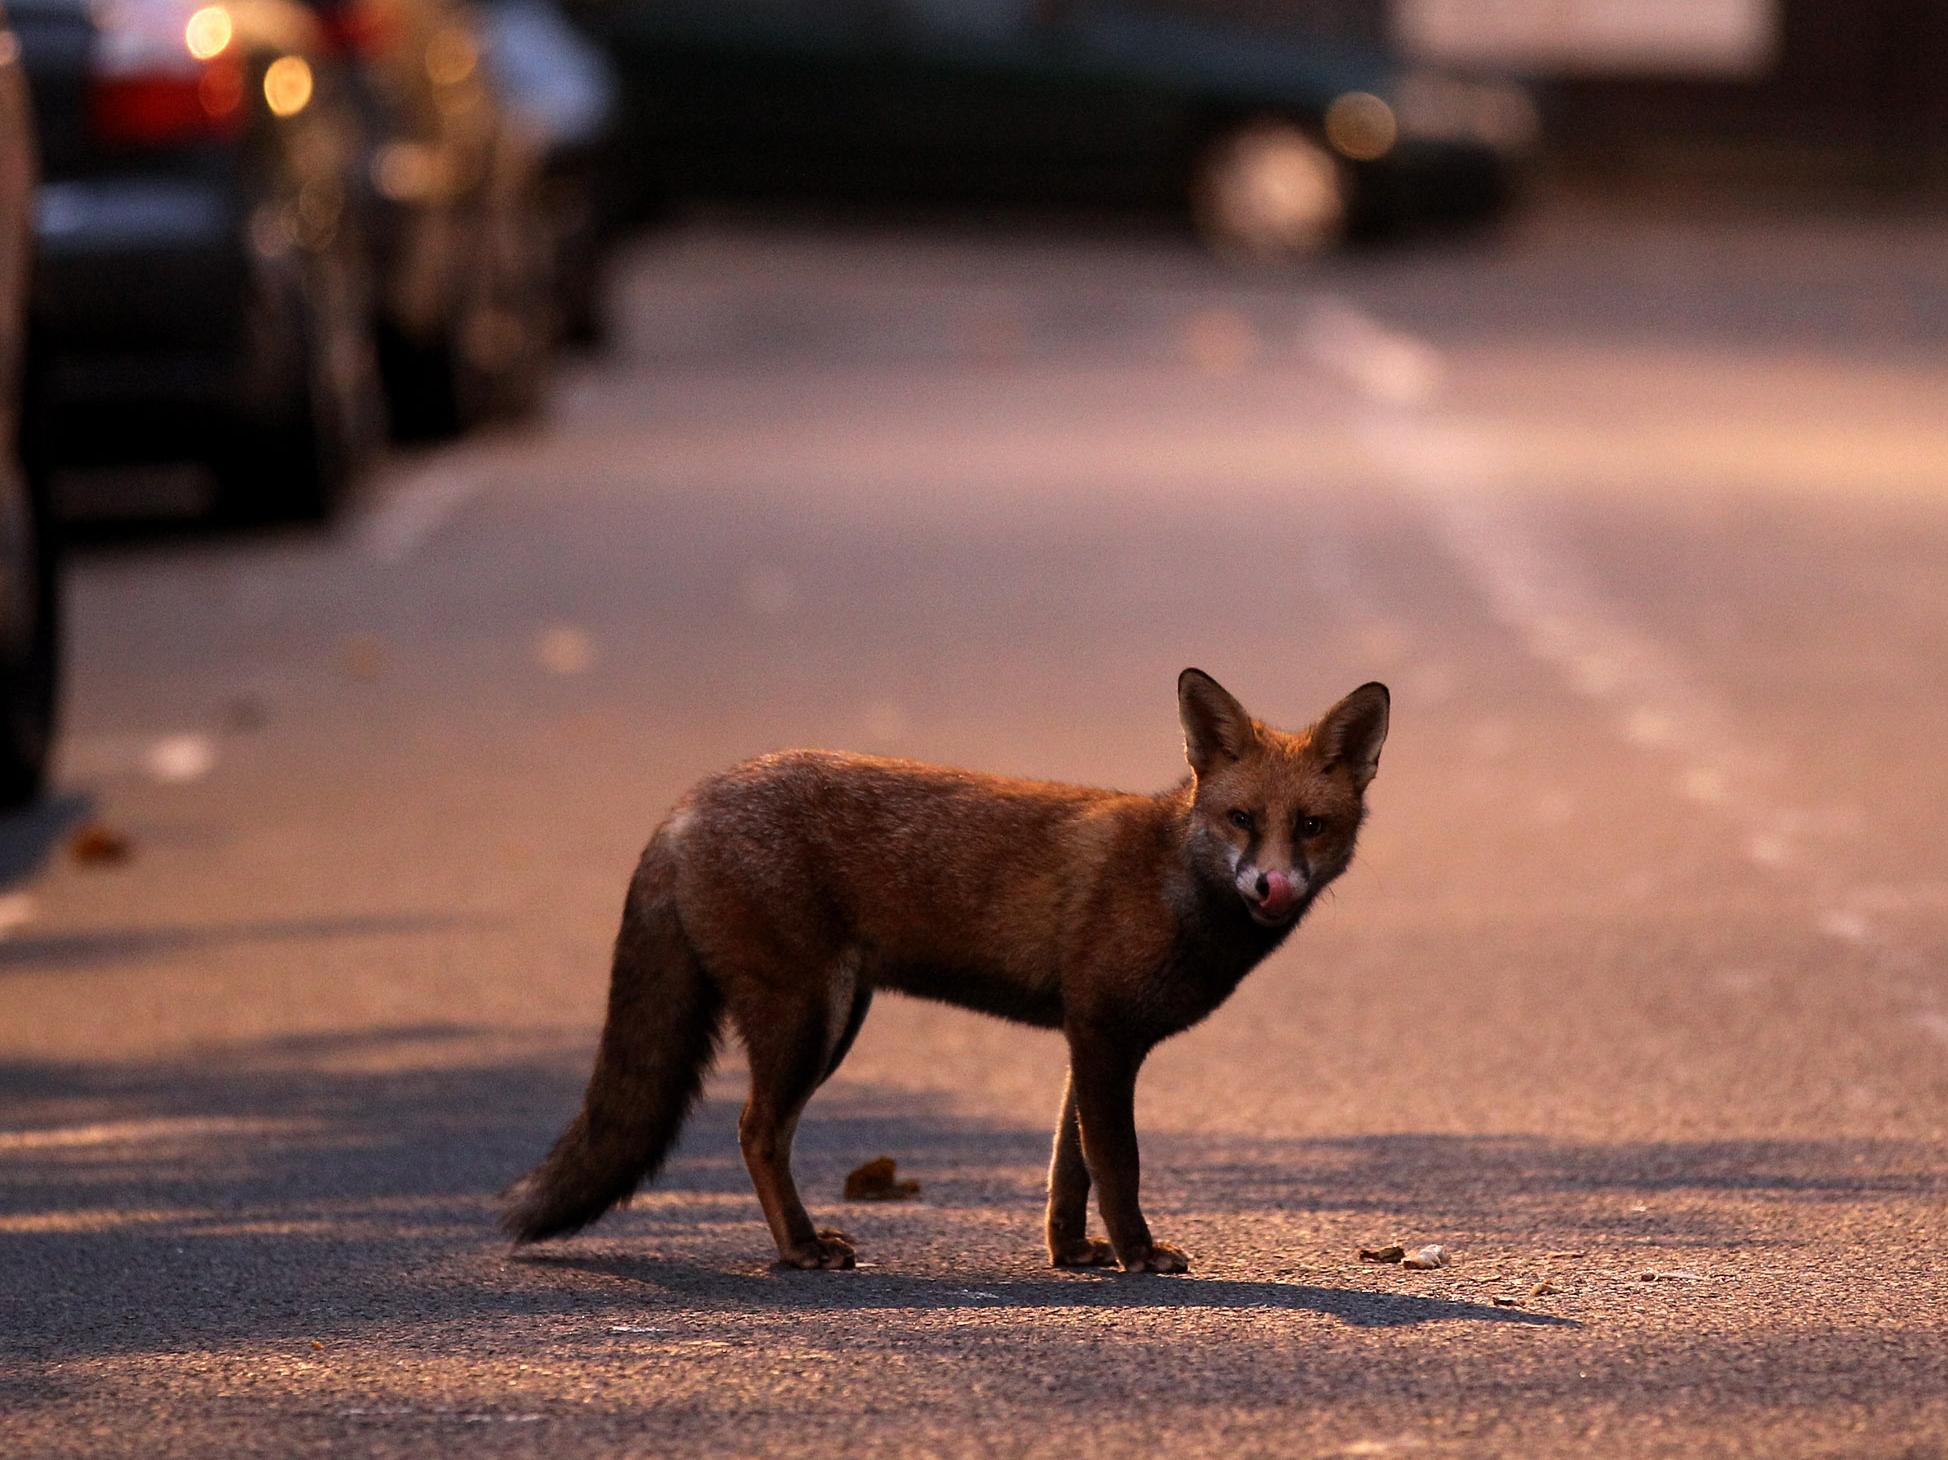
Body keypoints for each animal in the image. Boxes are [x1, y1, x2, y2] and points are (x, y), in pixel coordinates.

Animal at [502, 666, 1386, 1270]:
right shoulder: (1104, 1035)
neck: (1174, 882)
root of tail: (689, 802)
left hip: (836, 1015)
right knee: (757, 1131)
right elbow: (1119, 1165)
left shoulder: (1087, 1039)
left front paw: (1074, 1257)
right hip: (811, 1021)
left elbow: (1069, 1172)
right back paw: (799, 1249)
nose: (1273, 886)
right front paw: (1139, 1255)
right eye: (1241, 819)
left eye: (1310, 826)